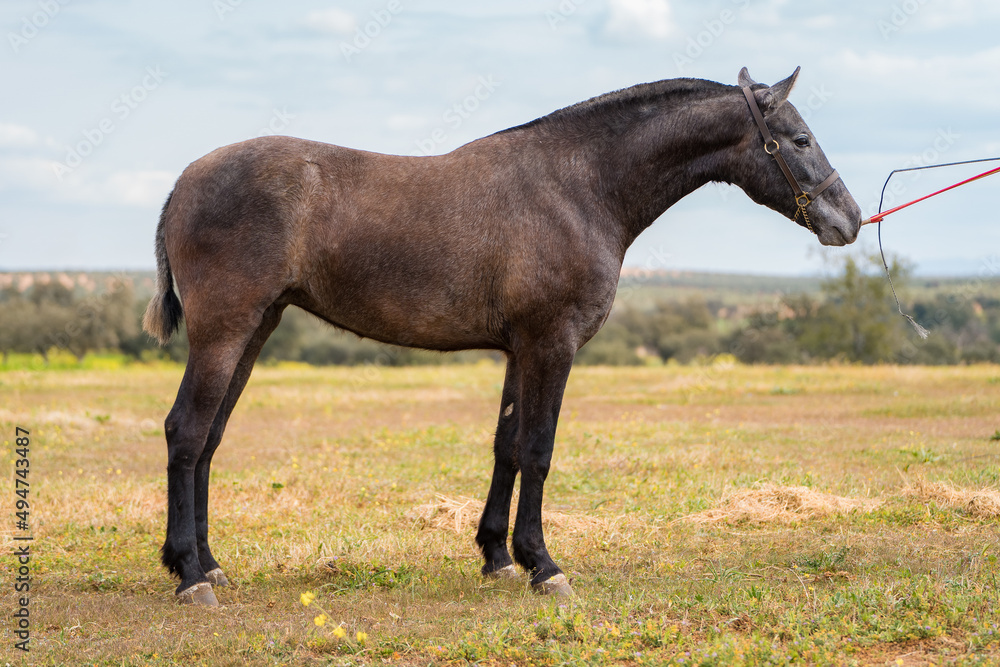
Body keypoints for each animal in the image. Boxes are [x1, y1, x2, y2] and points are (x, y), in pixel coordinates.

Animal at [143, 67, 861, 605]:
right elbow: (539, 449)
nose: (849, 219)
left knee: (209, 439)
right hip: (224, 331)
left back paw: (209, 564)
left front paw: (497, 557)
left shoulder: (521, 349)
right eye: (799, 139)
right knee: (187, 432)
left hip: (253, 330)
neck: (577, 187)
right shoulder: (552, 344)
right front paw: (544, 564)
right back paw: (189, 576)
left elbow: (507, 448)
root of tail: (182, 184)